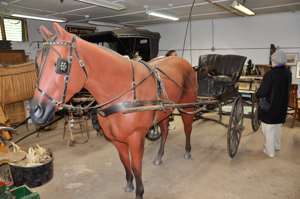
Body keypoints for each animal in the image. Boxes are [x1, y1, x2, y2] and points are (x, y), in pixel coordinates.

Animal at [30, 22, 197, 199]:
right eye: (37, 63)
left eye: (61, 65)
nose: (35, 111)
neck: (123, 91)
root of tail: (182, 61)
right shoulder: (116, 140)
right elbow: (125, 162)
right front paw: (129, 184)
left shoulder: (136, 137)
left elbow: (136, 166)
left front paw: (139, 192)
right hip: (164, 111)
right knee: (164, 131)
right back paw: (159, 156)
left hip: (188, 105)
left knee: (188, 127)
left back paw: (187, 151)